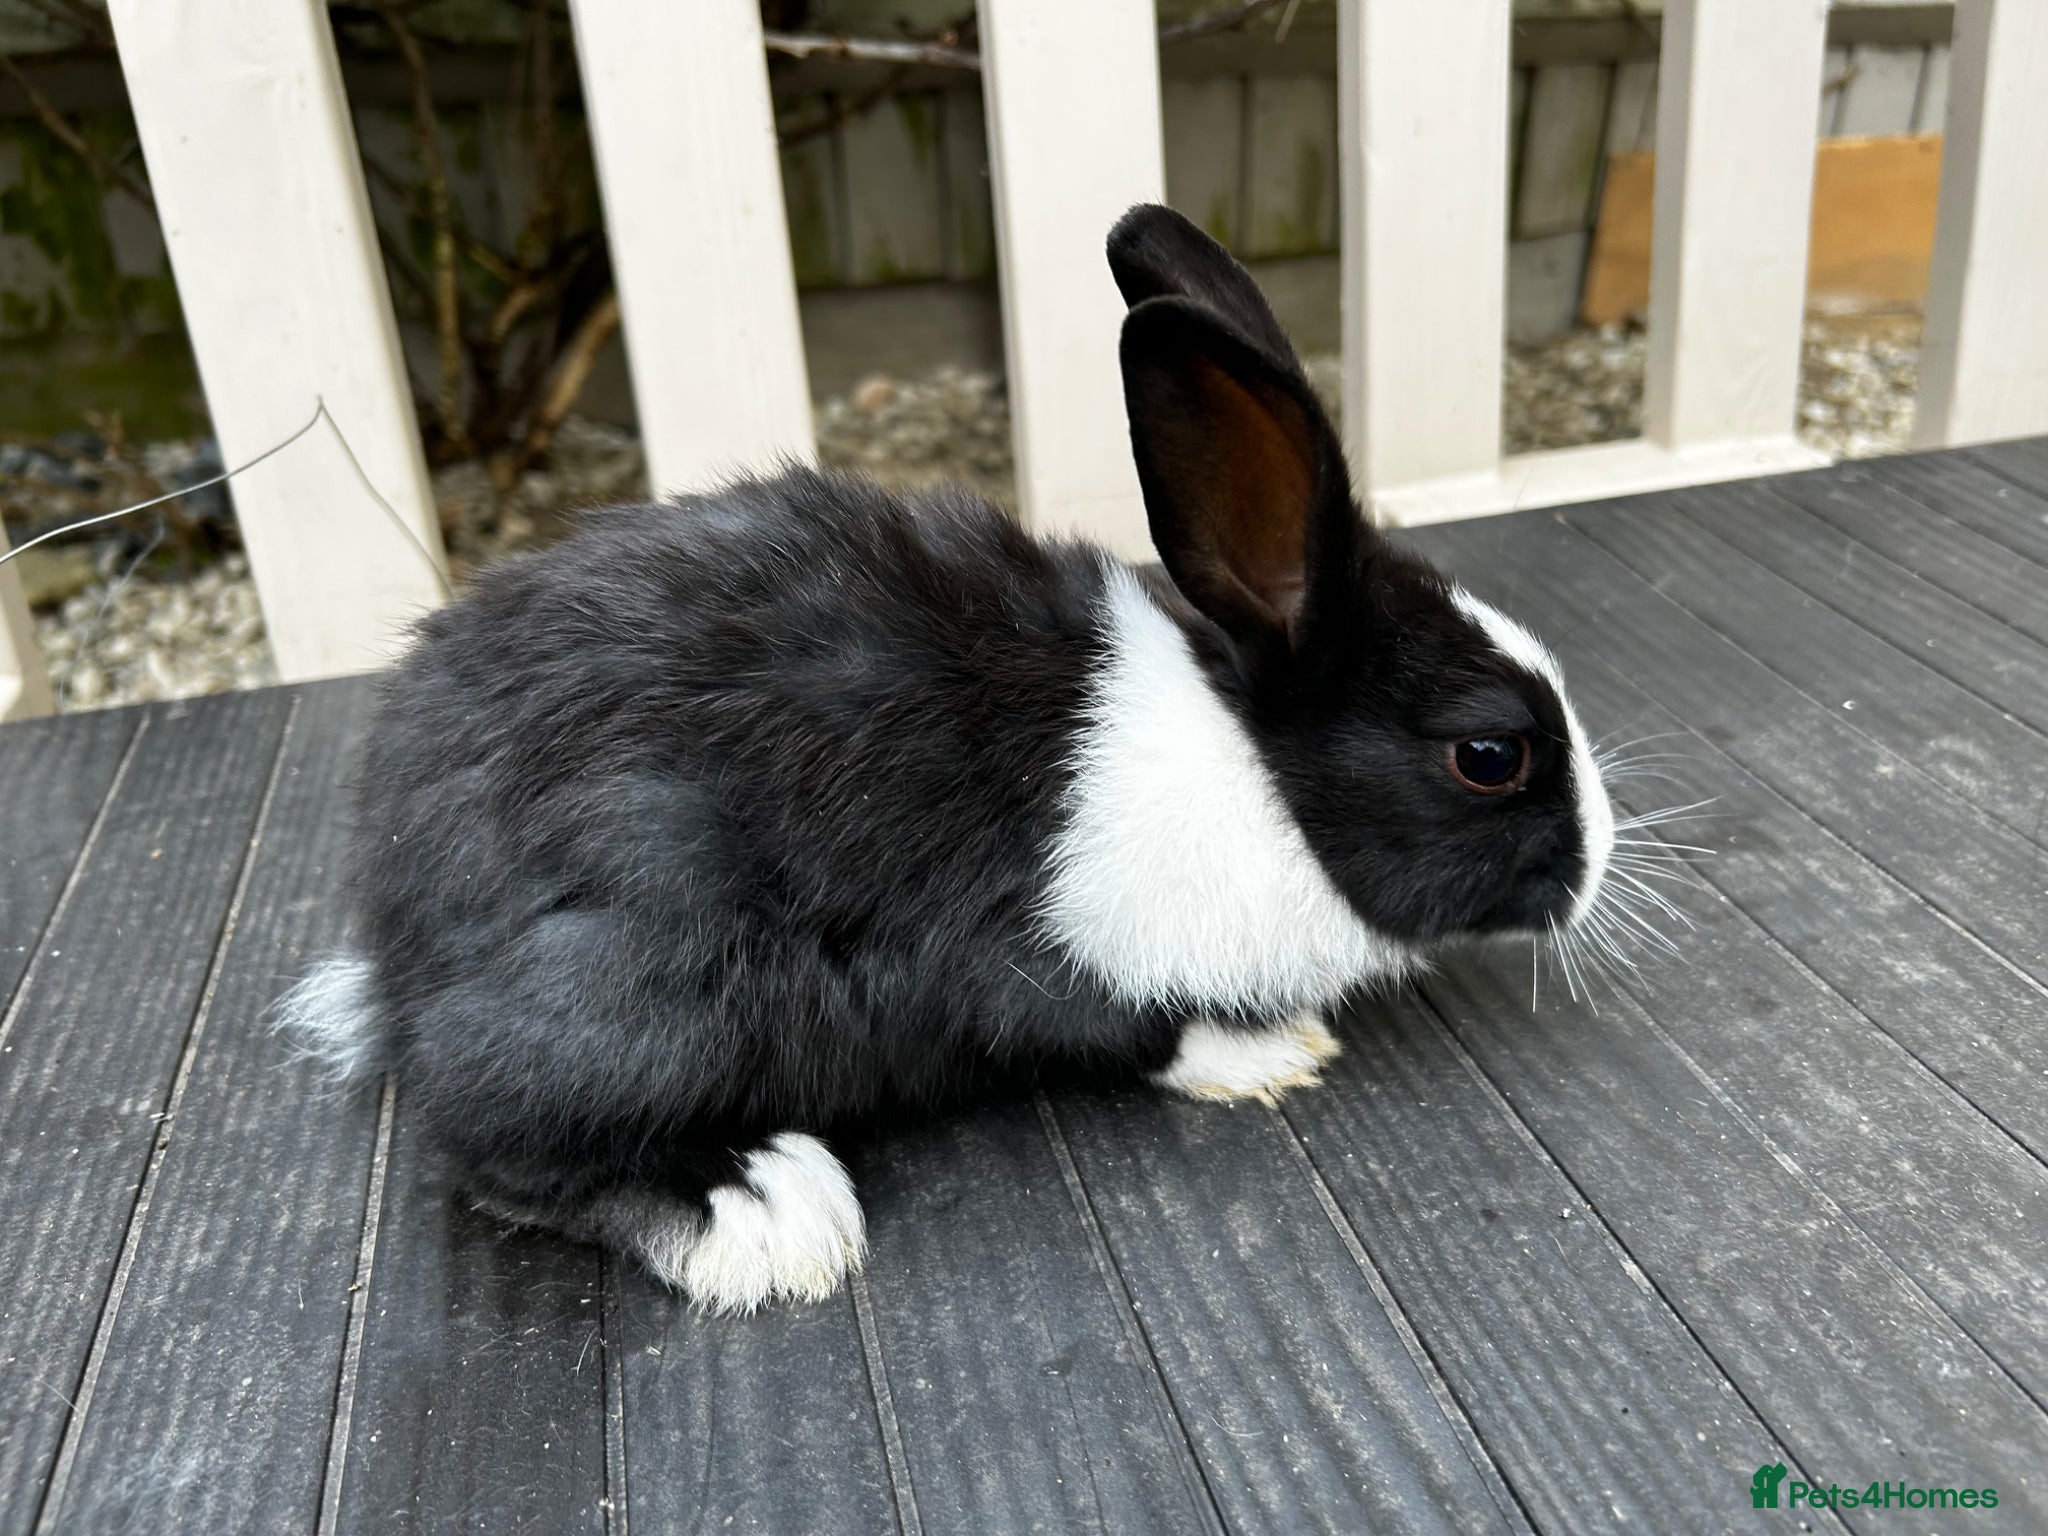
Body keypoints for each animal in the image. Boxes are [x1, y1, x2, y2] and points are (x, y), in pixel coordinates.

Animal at [278, 204, 1616, 1314]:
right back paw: (757, 1207)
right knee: (500, 1147)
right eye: (1488, 755)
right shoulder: (1044, 962)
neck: (1248, 768)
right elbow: (1130, 1030)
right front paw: (1269, 1053)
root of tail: (397, 958)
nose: (1597, 866)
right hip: (638, 977)